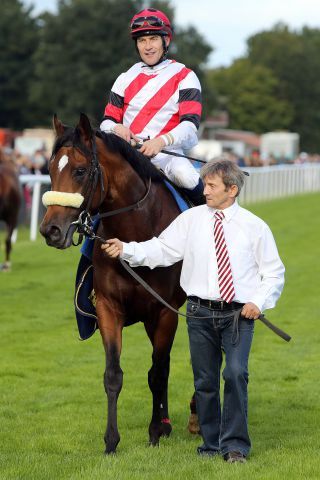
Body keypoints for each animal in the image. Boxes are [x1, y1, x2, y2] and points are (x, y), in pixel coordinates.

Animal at [39, 114, 188, 456]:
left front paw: (153, 432)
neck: (139, 234)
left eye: (80, 171)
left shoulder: (164, 312)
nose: (50, 230)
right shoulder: (109, 307)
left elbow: (156, 374)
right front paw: (111, 442)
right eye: (50, 170)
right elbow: (113, 375)